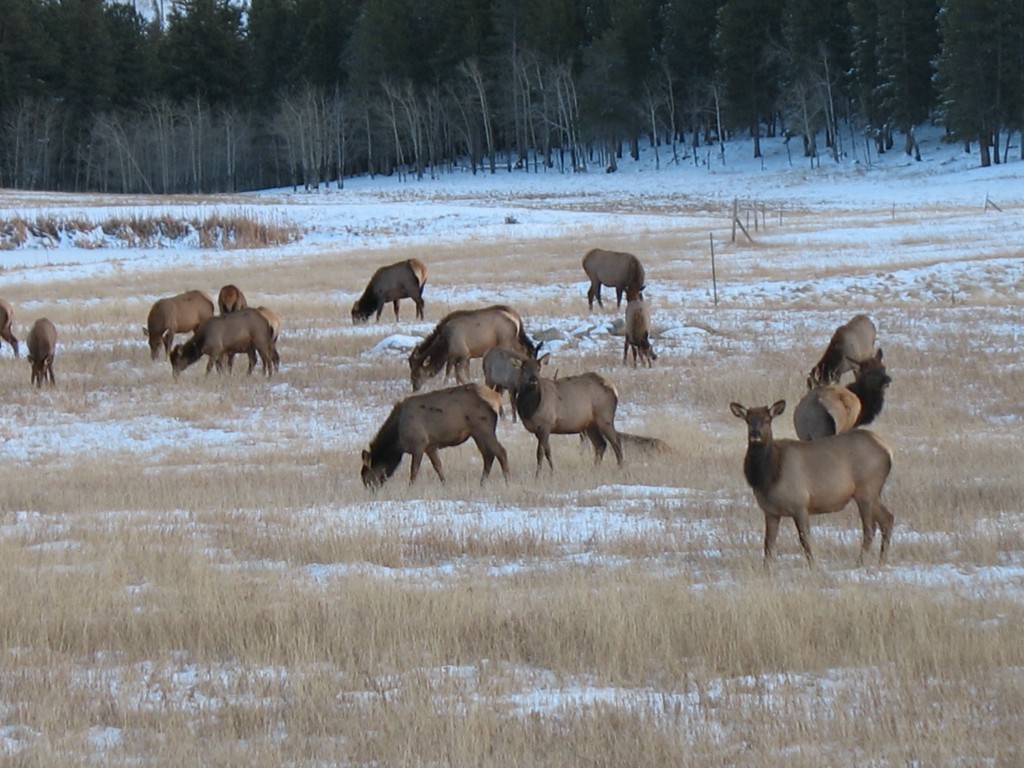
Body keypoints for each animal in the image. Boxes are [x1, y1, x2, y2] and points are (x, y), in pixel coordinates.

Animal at [362, 382, 509, 487]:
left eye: (366, 476)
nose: (370, 491)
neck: (398, 440)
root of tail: (497, 398)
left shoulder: (419, 443)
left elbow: (414, 470)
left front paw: (410, 488)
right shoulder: (430, 446)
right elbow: (438, 466)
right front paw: (445, 484)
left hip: (483, 429)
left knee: (501, 451)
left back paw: (507, 480)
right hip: (477, 433)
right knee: (488, 455)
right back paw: (482, 483)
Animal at [733, 399, 892, 569]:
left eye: (767, 420)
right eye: (748, 420)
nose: (755, 434)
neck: (768, 477)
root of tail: (888, 450)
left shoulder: (800, 504)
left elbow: (805, 540)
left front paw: (814, 567)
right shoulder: (771, 511)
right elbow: (768, 544)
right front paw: (766, 570)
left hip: (866, 490)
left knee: (870, 528)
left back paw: (860, 563)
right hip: (871, 493)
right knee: (887, 520)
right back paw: (882, 560)